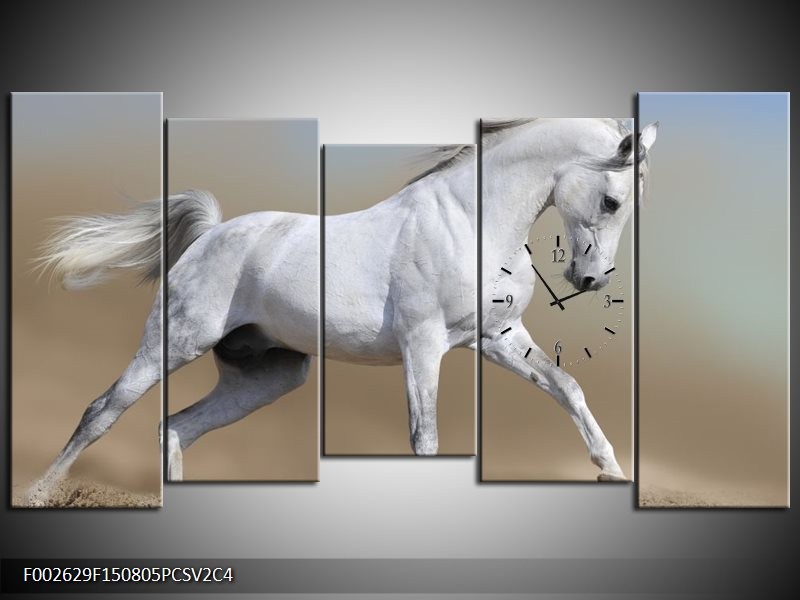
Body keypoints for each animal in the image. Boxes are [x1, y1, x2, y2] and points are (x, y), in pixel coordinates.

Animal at [26, 117, 656, 504]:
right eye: (612, 200)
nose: (590, 280)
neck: (469, 223)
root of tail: (211, 235)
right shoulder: (423, 345)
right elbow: (425, 437)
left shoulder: (498, 336)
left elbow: (567, 387)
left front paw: (611, 468)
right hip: (174, 343)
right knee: (103, 411)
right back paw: (37, 492)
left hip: (269, 376)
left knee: (175, 428)